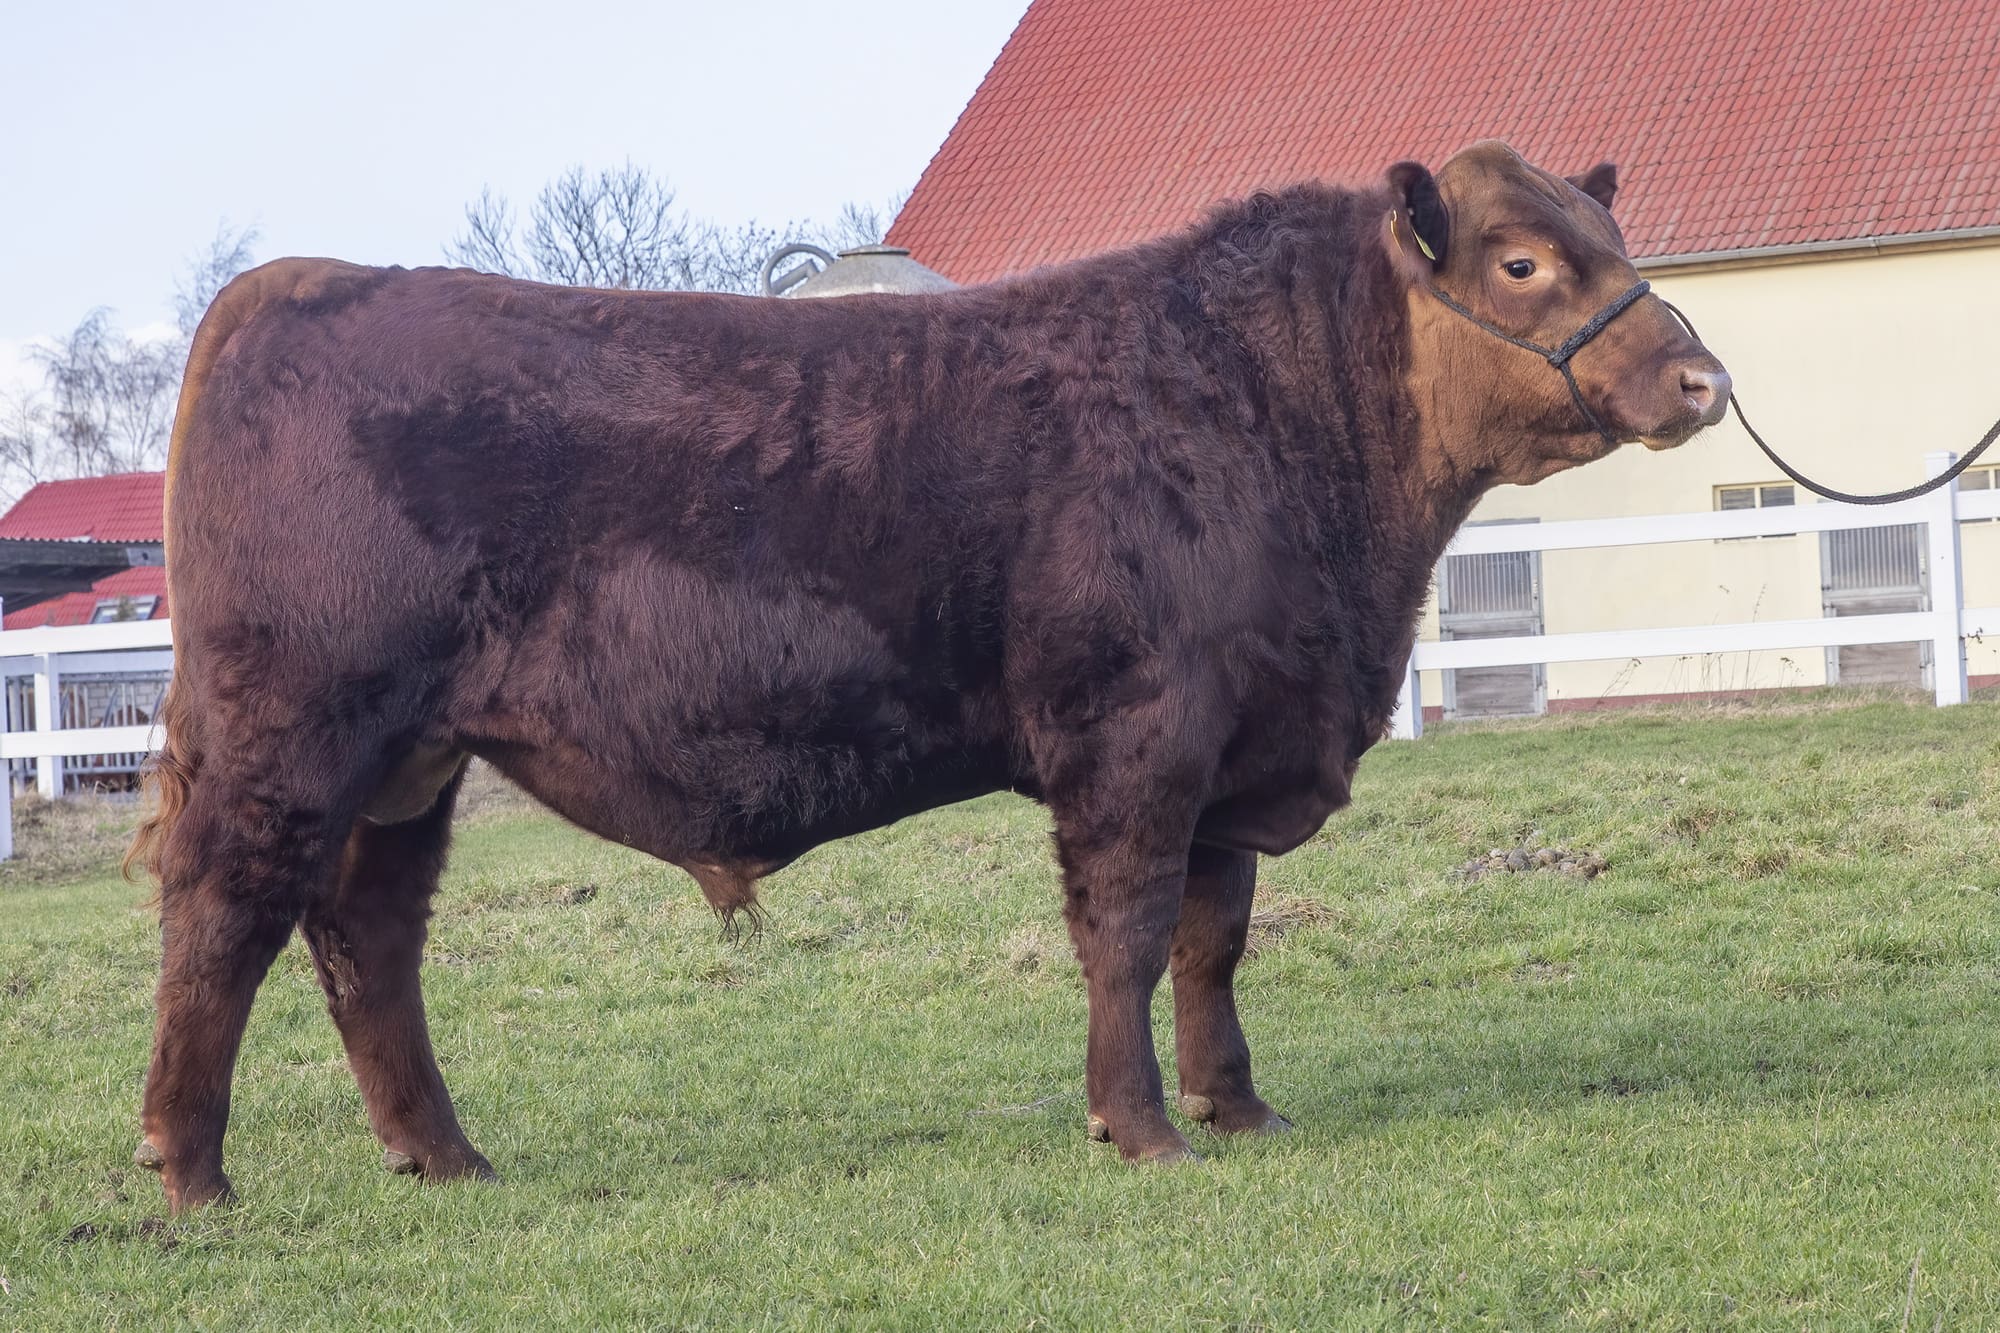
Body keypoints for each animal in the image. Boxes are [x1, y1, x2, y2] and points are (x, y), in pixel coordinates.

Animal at [129, 140, 1720, 1208]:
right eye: (1522, 262)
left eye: (1607, 231)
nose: (1703, 379)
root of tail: (298, 283)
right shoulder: (1136, 735)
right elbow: (1127, 930)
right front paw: (1139, 1127)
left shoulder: (1234, 748)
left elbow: (1213, 940)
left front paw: (1239, 1109)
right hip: (295, 726)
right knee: (225, 915)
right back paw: (190, 1171)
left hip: (409, 761)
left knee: (367, 938)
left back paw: (444, 1155)